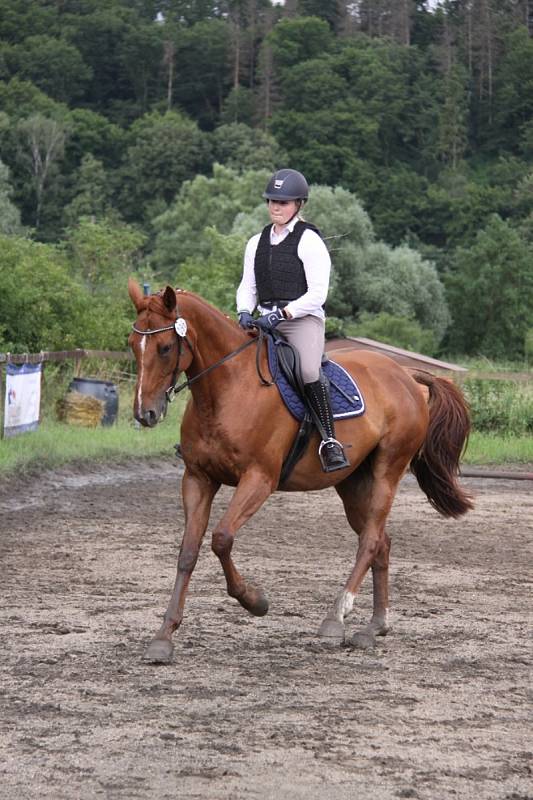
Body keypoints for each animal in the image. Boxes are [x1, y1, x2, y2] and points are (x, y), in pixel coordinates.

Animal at [127, 282, 472, 664]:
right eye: (131, 343)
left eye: (165, 347)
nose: (145, 413)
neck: (227, 390)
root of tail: (406, 374)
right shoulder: (198, 479)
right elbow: (188, 552)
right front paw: (163, 637)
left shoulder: (259, 480)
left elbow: (222, 539)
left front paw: (256, 602)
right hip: (353, 483)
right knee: (381, 541)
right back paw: (373, 628)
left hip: (388, 470)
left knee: (369, 541)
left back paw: (337, 616)